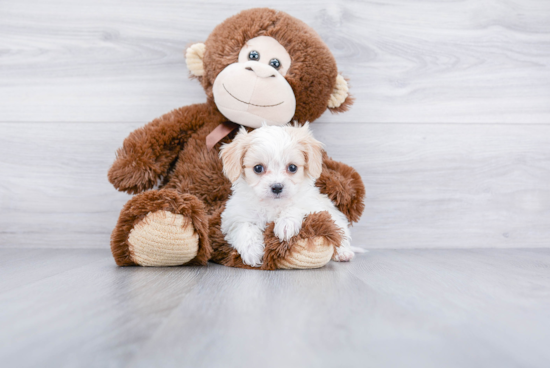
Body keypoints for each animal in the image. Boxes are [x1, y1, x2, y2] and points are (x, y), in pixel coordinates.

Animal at [220, 123, 362, 268]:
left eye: (292, 167)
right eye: (258, 168)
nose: (277, 187)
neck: (273, 204)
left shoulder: (313, 206)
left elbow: (296, 206)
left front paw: (286, 224)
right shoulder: (233, 217)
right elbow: (244, 228)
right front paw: (252, 251)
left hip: (336, 219)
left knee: (340, 236)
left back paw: (343, 253)